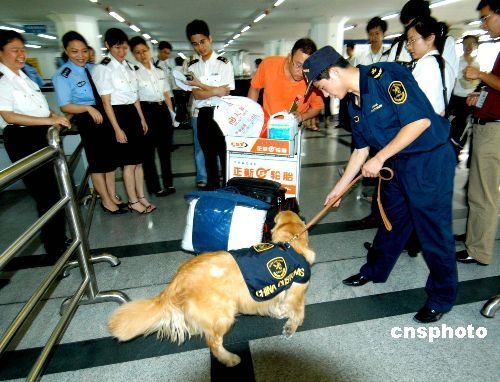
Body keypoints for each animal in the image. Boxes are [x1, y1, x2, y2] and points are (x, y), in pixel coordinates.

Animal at [107, 210, 314, 366]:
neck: (290, 242)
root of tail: (177, 281)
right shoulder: (297, 292)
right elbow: (298, 312)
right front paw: (291, 326)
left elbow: (279, 305)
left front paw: (281, 313)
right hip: (223, 315)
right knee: (213, 342)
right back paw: (229, 358)